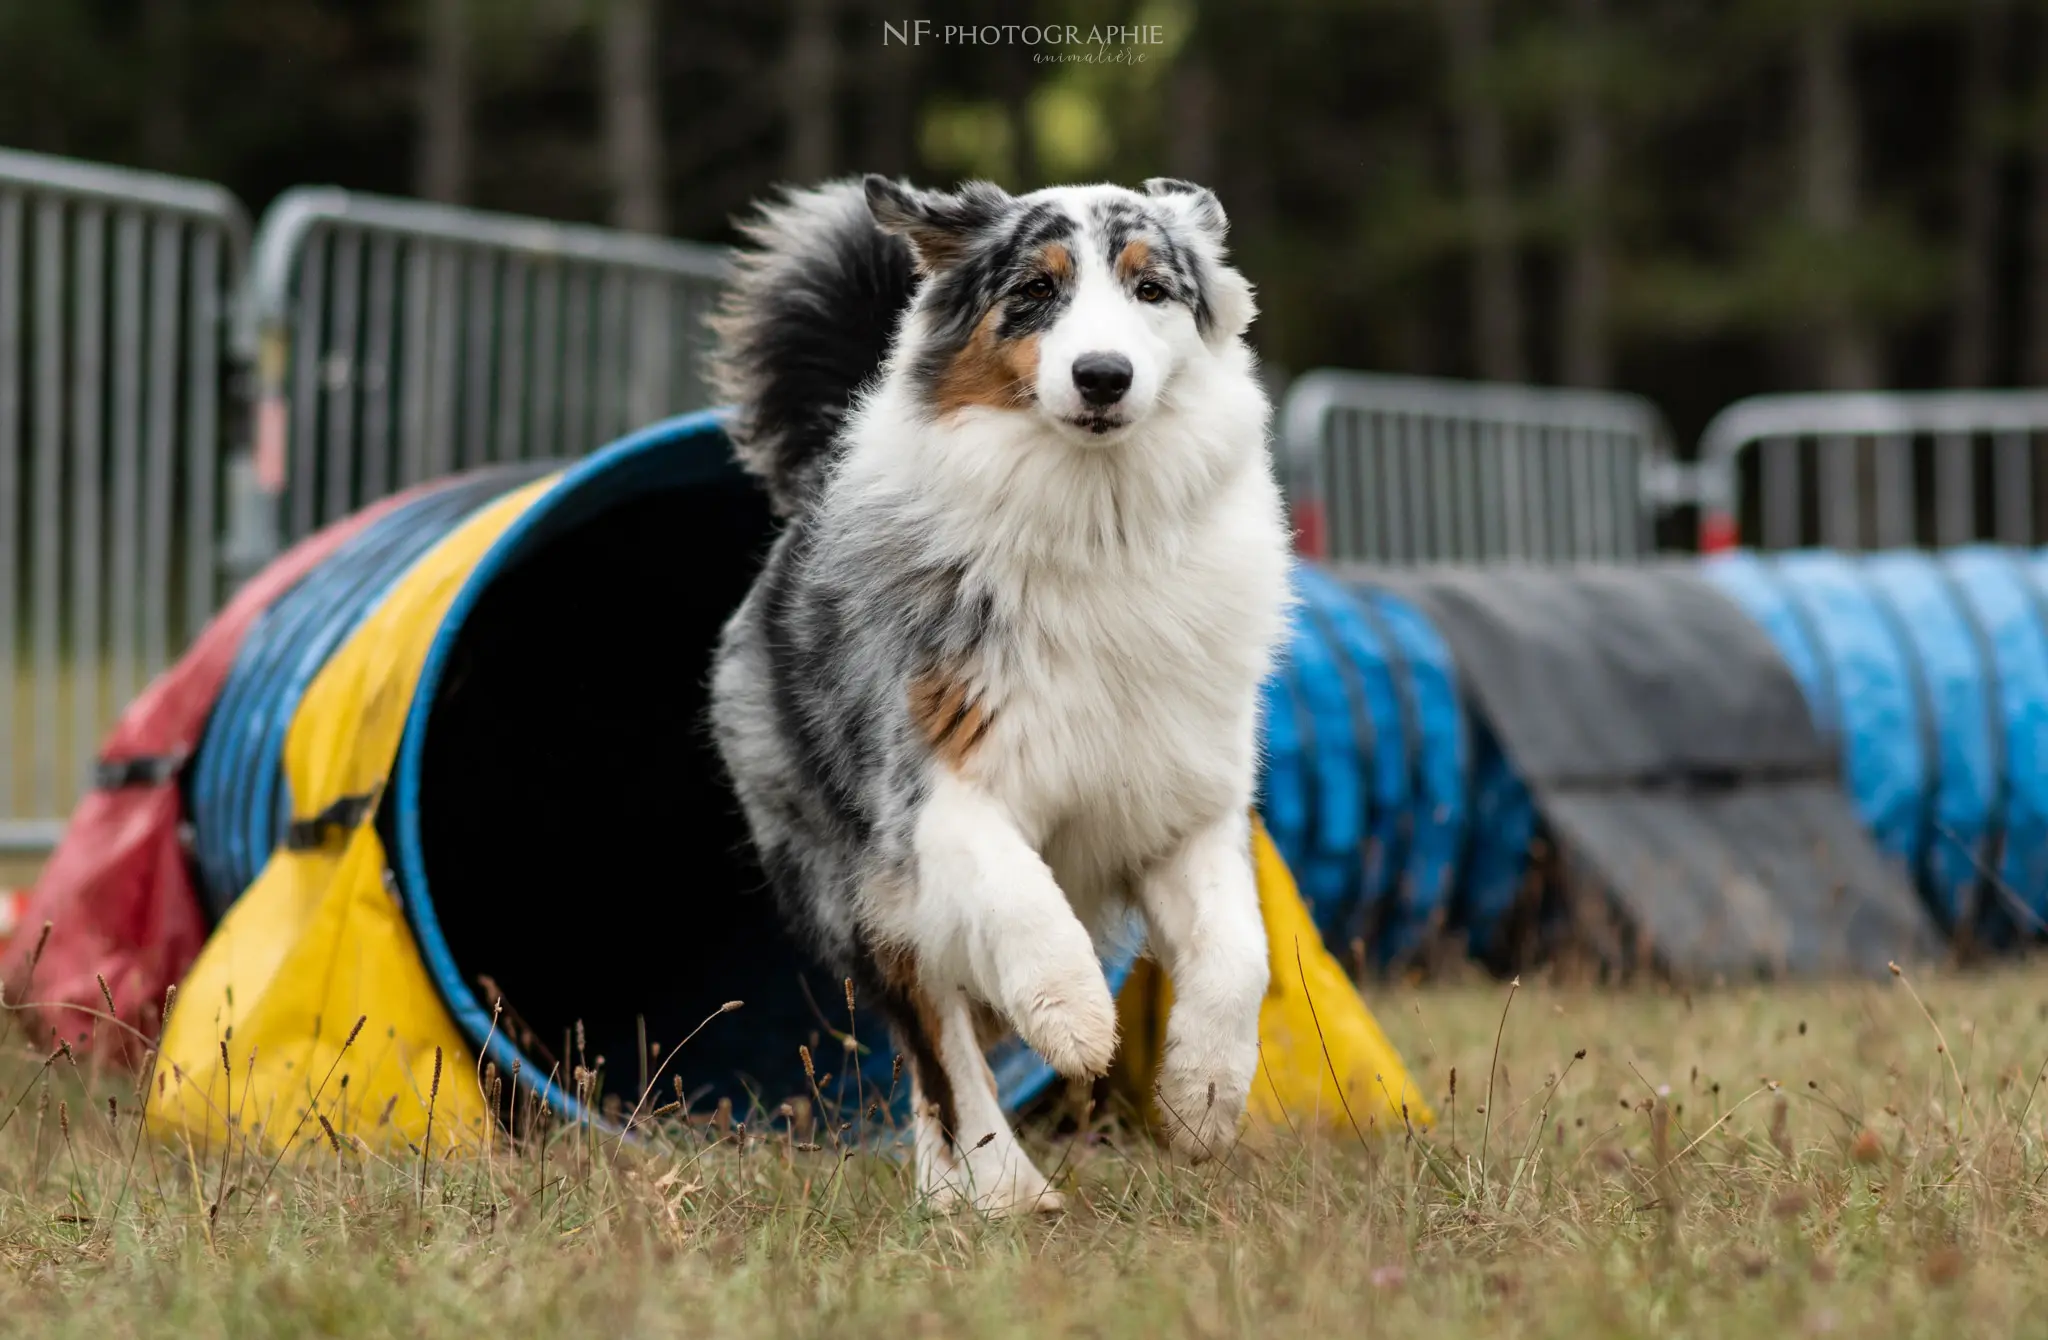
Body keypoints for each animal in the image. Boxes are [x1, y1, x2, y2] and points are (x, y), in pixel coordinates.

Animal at [704, 176, 1277, 1221]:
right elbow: (1018, 895)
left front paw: (1204, 1099)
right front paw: (1077, 1017)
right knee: (936, 1041)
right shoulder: (931, 790)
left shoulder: (1187, 805)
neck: (1097, 521)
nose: (1102, 376)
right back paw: (1000, 1187)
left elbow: (1237, 953)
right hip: (849, 884)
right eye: (1035, 291)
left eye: (1151, 289)